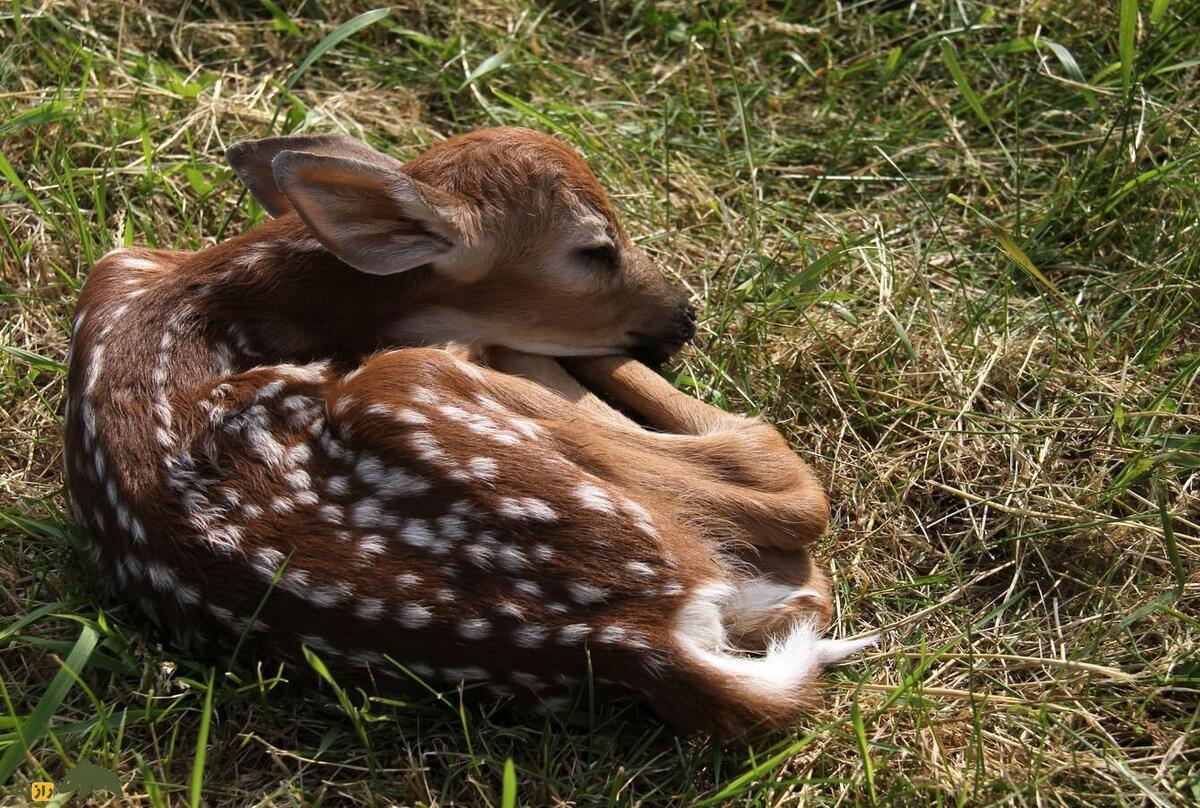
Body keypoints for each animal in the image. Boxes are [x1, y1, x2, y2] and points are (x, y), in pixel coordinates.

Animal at [63, 124, 873, 729]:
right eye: (595, 249)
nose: (684, 316)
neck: (203, 290)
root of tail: (638, 634)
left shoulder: (117, 263)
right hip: (408, 386)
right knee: (777, 479)